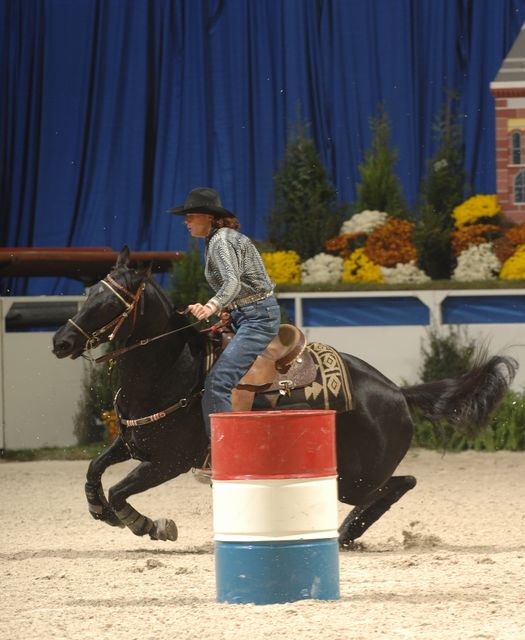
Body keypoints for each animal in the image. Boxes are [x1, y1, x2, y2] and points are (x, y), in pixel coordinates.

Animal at [52, 249, 516, 544]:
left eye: (110, 302)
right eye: (88, 293)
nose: (60, 341)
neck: (171, 369)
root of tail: (397, 392)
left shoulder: (169, 461)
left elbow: (120, 491)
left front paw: (149, 524)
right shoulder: (132, 441)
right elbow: (94, 471)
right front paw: (101, 511)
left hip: (357, 476)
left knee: (399, 484)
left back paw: (347, 533)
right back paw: (346, 534)